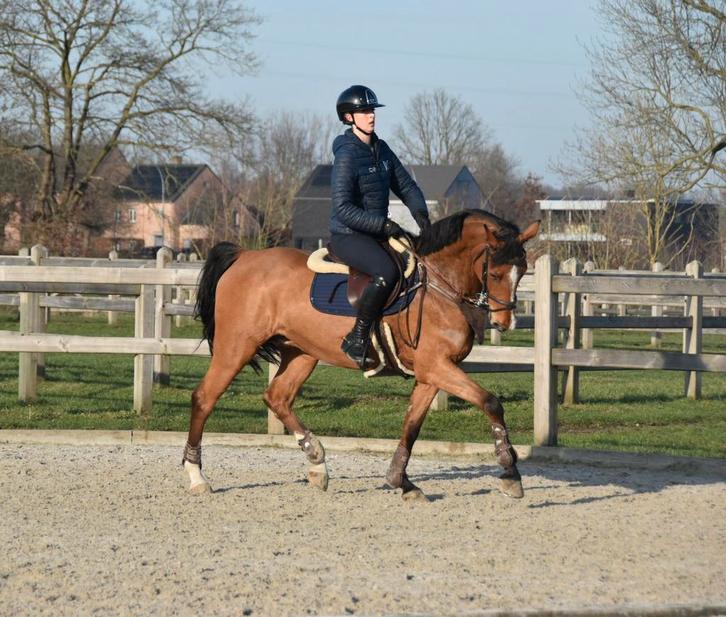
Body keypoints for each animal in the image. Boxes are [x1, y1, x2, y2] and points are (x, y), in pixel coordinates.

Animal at [182, 209, 540, 501]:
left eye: (522, 271)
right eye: (495, 273)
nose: (503, 322)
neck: (440, 287)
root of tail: (244, 256)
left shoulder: (432, 373)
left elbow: (412, 426)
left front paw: (401, 482)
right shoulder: (437, 367)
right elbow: (490, 402)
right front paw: (510, 472)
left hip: (302, 353)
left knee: (277, 397)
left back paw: (317, 462)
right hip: (236, 348)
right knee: (204, 398)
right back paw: (197, 476)